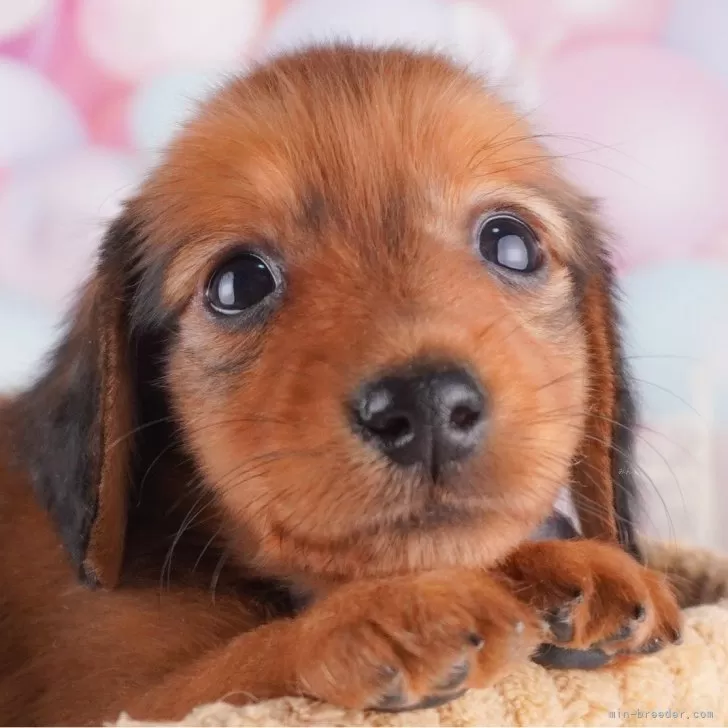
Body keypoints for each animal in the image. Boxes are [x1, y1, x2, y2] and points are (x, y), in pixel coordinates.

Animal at [1, 45, 684, 724]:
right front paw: (374, 617)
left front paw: (555, 566)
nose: (427, 403)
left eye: (511, 243)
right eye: (237, 284)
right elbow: (242, 659)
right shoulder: (118, 703)